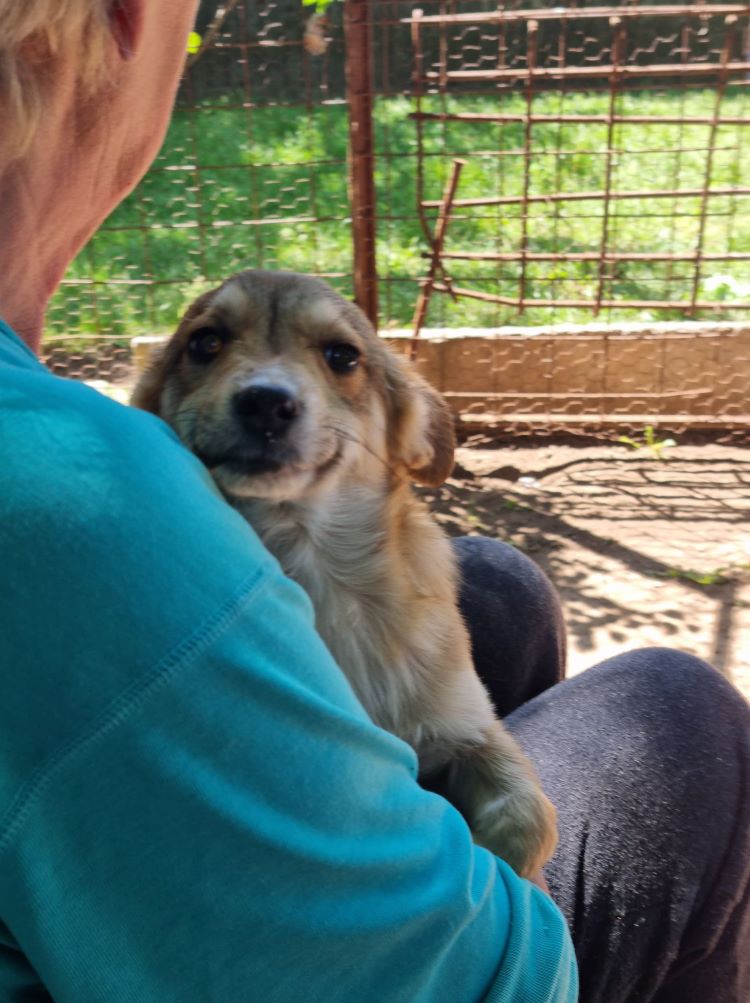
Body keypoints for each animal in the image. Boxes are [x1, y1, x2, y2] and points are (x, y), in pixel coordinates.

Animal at [133, 270, 557, 874]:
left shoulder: (471, 726)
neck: (317, 571)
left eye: (342, 355)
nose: (265, 402)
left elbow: (531, 813)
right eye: (205, 342)